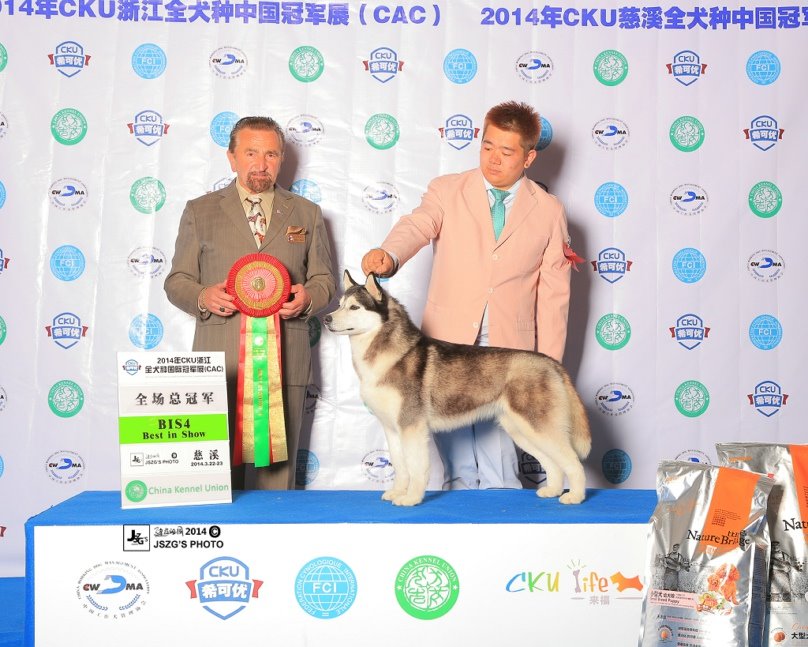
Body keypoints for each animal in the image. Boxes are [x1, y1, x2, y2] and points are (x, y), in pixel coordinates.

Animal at [324, 271, 591, 506]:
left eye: (354, 307)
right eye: (339, 304)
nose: (326, 318)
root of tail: (552, 362)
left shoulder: (412, 426)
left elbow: (416, 467)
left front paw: (411, 499)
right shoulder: (392, 428)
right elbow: (400, 466)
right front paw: (397, 492)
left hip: (539, 427)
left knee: (573, 462)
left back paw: (575, 496)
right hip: (520, 429)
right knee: (553, 463)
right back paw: (552, 490)